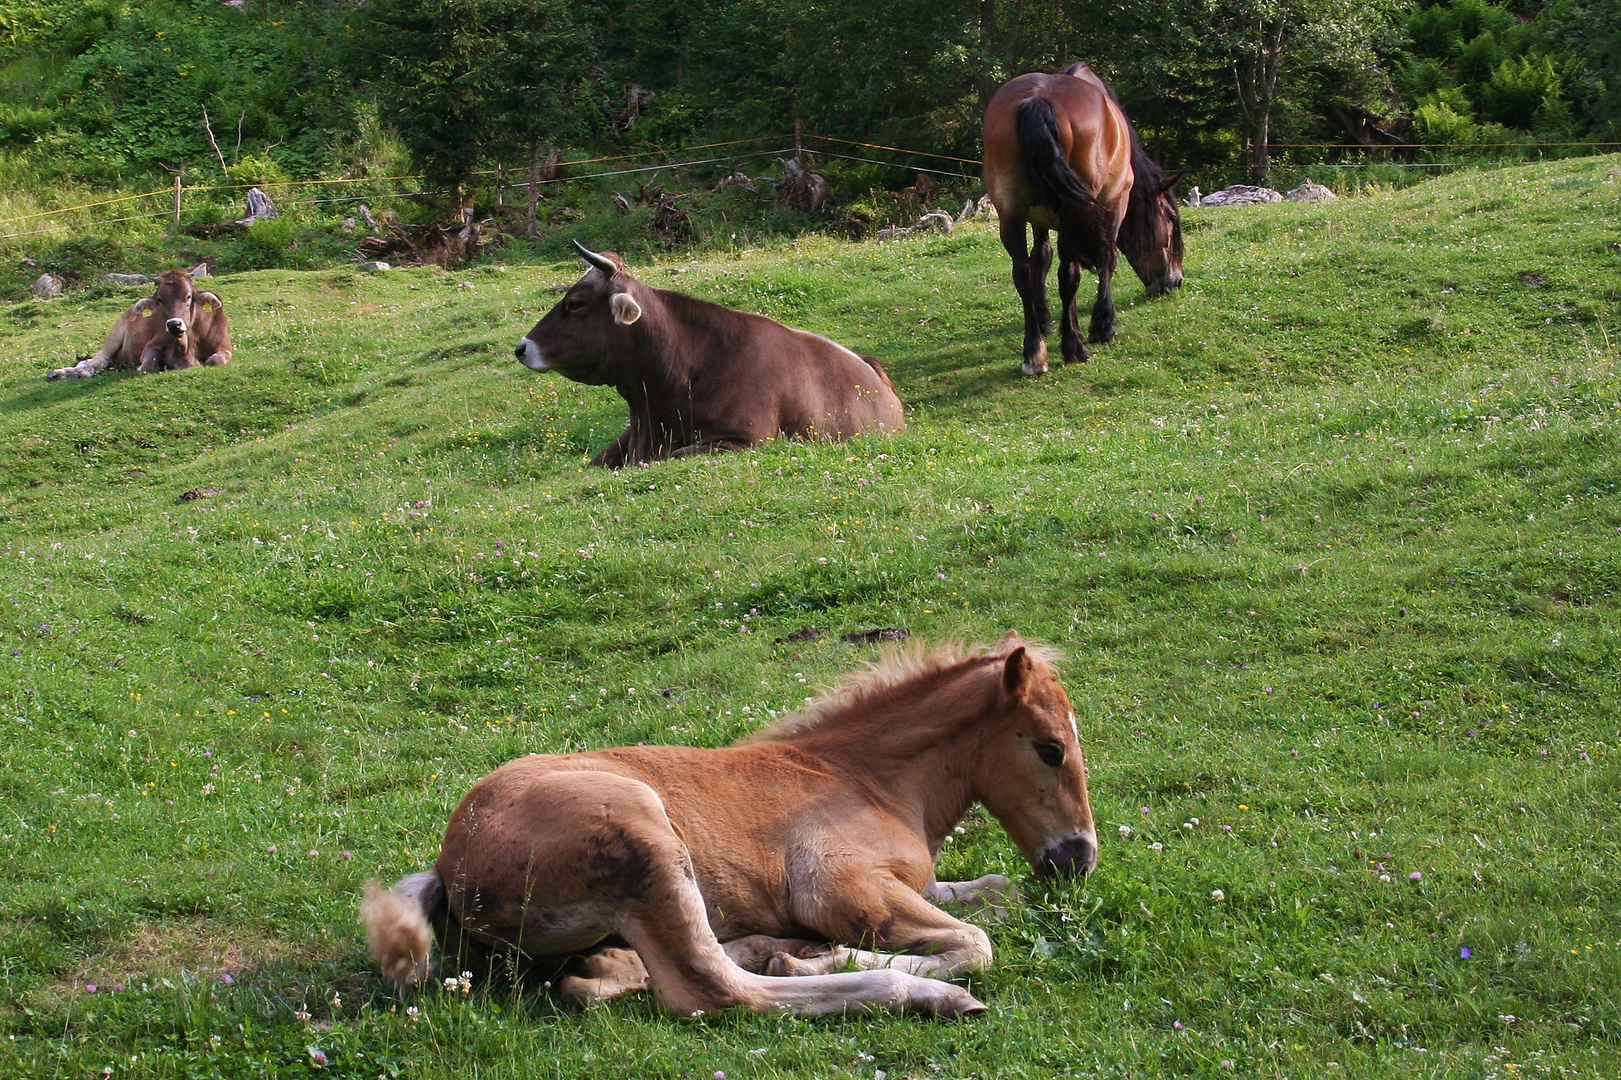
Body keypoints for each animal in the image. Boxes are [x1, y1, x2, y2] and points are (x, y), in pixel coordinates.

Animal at [364, 625, 1102, 1011]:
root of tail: (449, 863)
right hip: (647, 841)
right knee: (715, 989)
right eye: (1050, 747)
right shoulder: (840, 886)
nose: (1079, 858)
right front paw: (836, 957)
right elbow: (975, 942)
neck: (872, 779)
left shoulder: (914, 883)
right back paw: (890, 986)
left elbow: (996, 894)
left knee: (626, 973)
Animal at [979, 64, 1186, 374]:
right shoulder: (1116, 202)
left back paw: (1034, 353)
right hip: (1073, 215)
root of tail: (1037, 100)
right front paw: (1104, 325)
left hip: (1011, 215)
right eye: (1171, 218)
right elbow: (1107, 259)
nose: (1176, 280)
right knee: (1069, 274)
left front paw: (1043, 319)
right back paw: (1074, 347)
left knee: (1023, 272)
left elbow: (1041, 257)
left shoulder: (1038, 217)